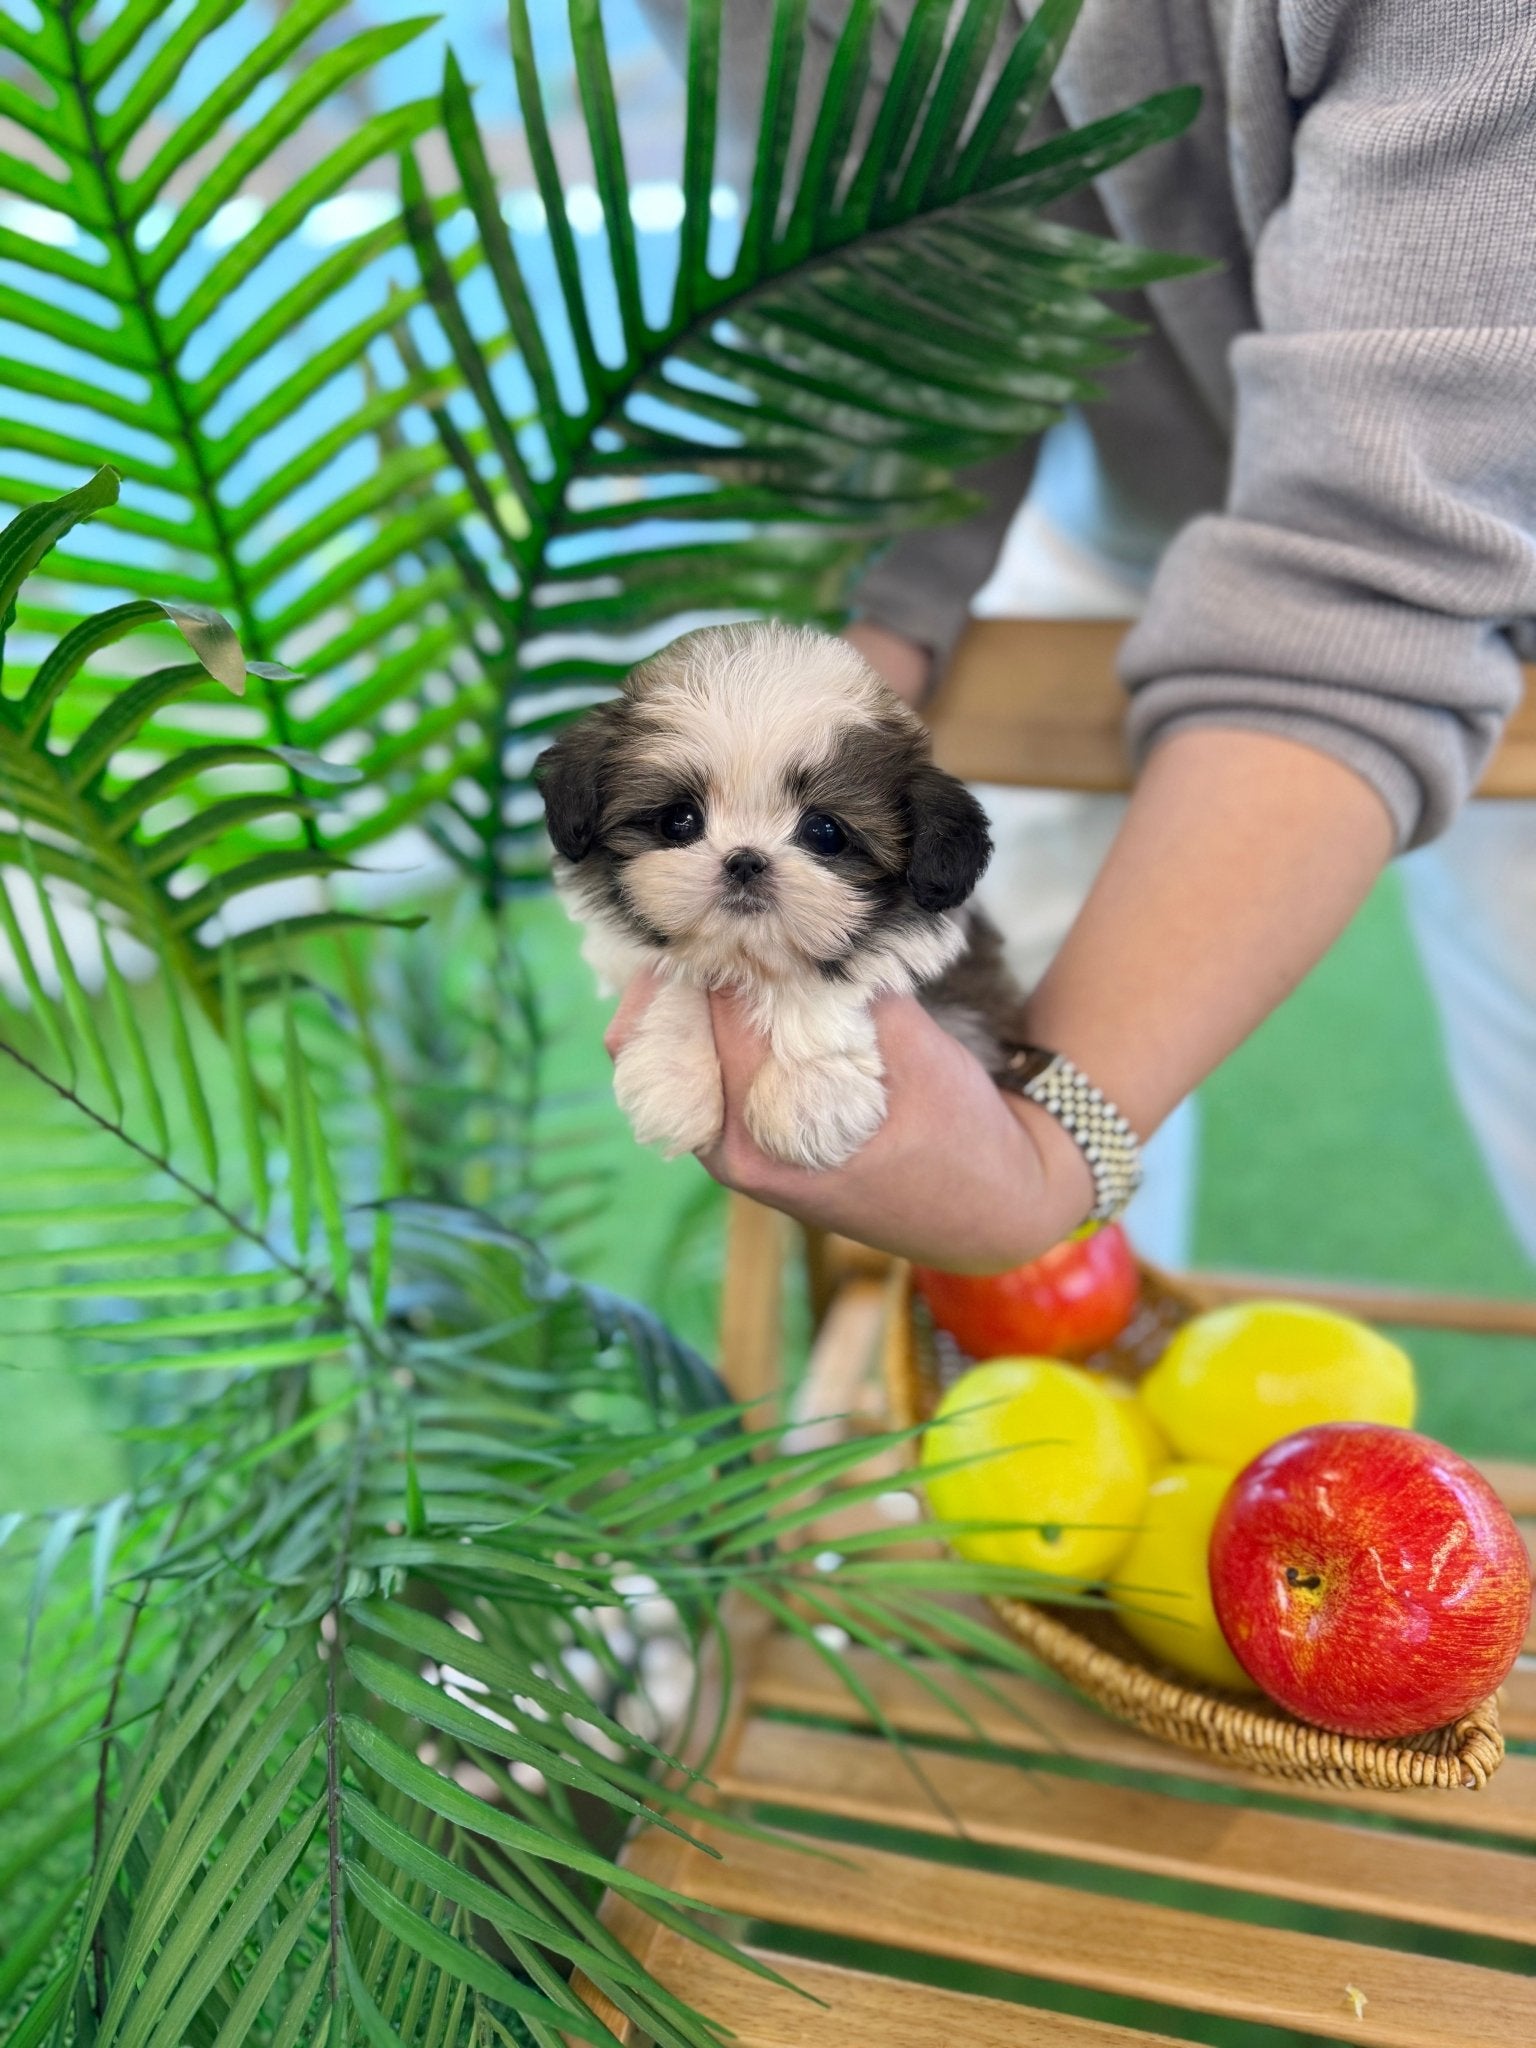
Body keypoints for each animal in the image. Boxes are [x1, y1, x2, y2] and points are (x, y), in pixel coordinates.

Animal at [536, 618, 1028, 1171]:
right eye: (679, 820)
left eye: (825, 832)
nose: (745, 860)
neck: (747, 957)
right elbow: (676, 969)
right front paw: (674, 1078)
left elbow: (824, 982)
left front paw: (809, 1096)